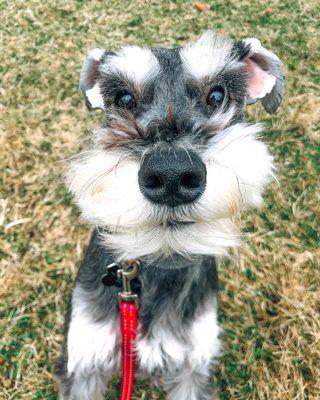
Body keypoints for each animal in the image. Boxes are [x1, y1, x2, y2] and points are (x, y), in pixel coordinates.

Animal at [55, 29, 282, 398]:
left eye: (217, 95)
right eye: (124, 100)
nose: (172, 174)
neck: (161, 264)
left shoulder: (193, 367)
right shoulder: (84, 363)